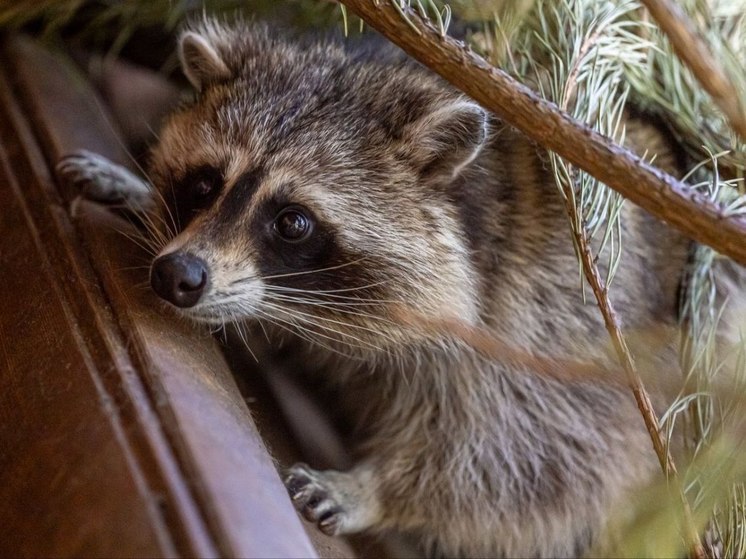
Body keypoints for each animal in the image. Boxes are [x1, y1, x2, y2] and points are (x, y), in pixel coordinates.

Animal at [56, 19, 740, 556]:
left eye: (292, 222)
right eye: (203, 184)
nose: (179, 274)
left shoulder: (552, 311)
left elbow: (546, 454)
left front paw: (377, 489)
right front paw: (138, 193)